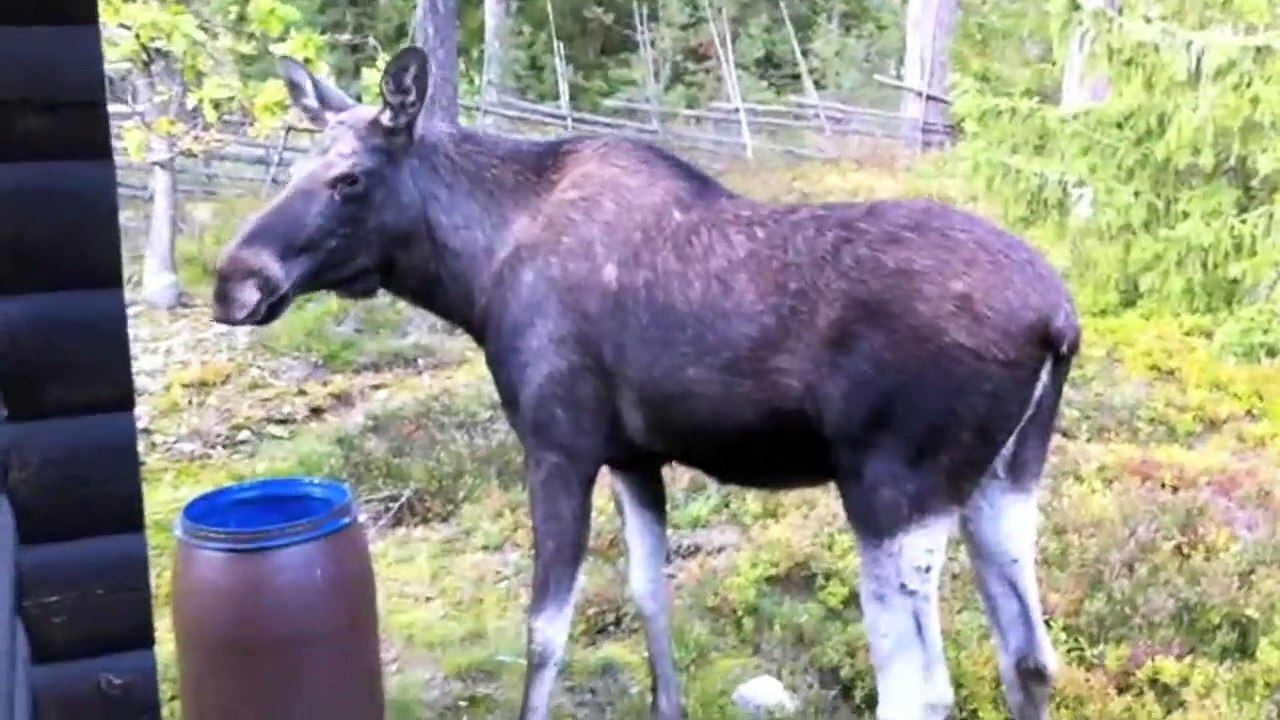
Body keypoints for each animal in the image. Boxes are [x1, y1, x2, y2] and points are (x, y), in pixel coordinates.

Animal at [211, 46, 1080, 720]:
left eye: (350, 179)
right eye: (296, 166)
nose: (234, 283)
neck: (474, 279)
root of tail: (1059, 320)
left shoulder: (556, 444)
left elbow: (545, 629)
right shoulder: (634, 455)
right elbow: (647, 593)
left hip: (893, 492)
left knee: (919, 690)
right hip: (1005, 481)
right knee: (1031, 657)